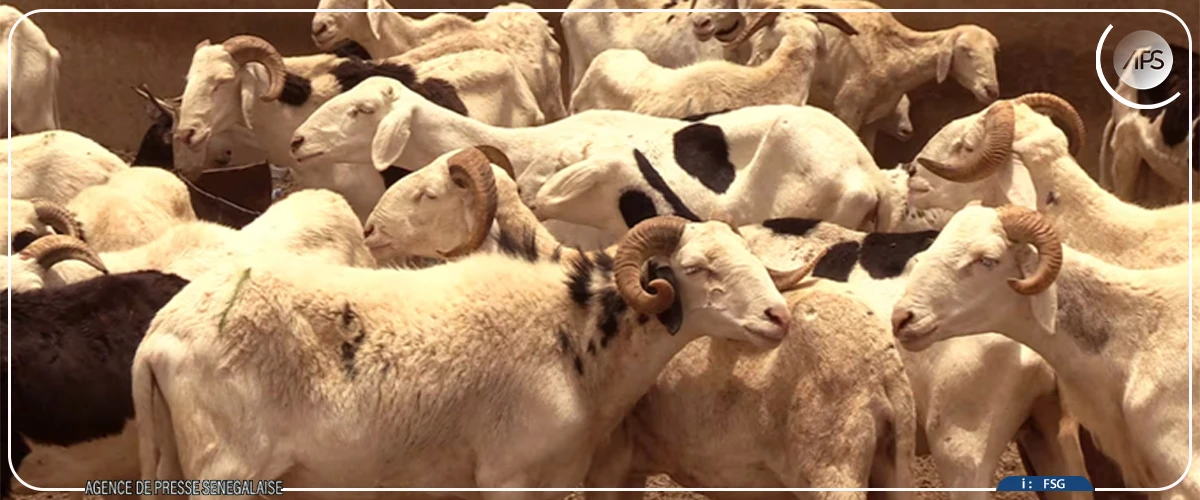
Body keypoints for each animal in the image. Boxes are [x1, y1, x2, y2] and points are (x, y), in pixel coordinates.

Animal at [132, 209, 806, 494]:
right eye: (695, 269)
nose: (779, 317)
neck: (575, 336)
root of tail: (159, 335)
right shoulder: (507, 474)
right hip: (228, 468)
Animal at [366, 147, 918, 496]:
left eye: (428, 194)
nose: (369, 229)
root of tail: (882, 368)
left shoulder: (605, 463)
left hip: (831, 468)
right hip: (894, 471)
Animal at [691, 0, 1000, 151]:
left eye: (994, 51)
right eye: (965, 51)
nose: (992, 91)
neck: (891, 52)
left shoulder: (872, 121)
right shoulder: (848, 107)